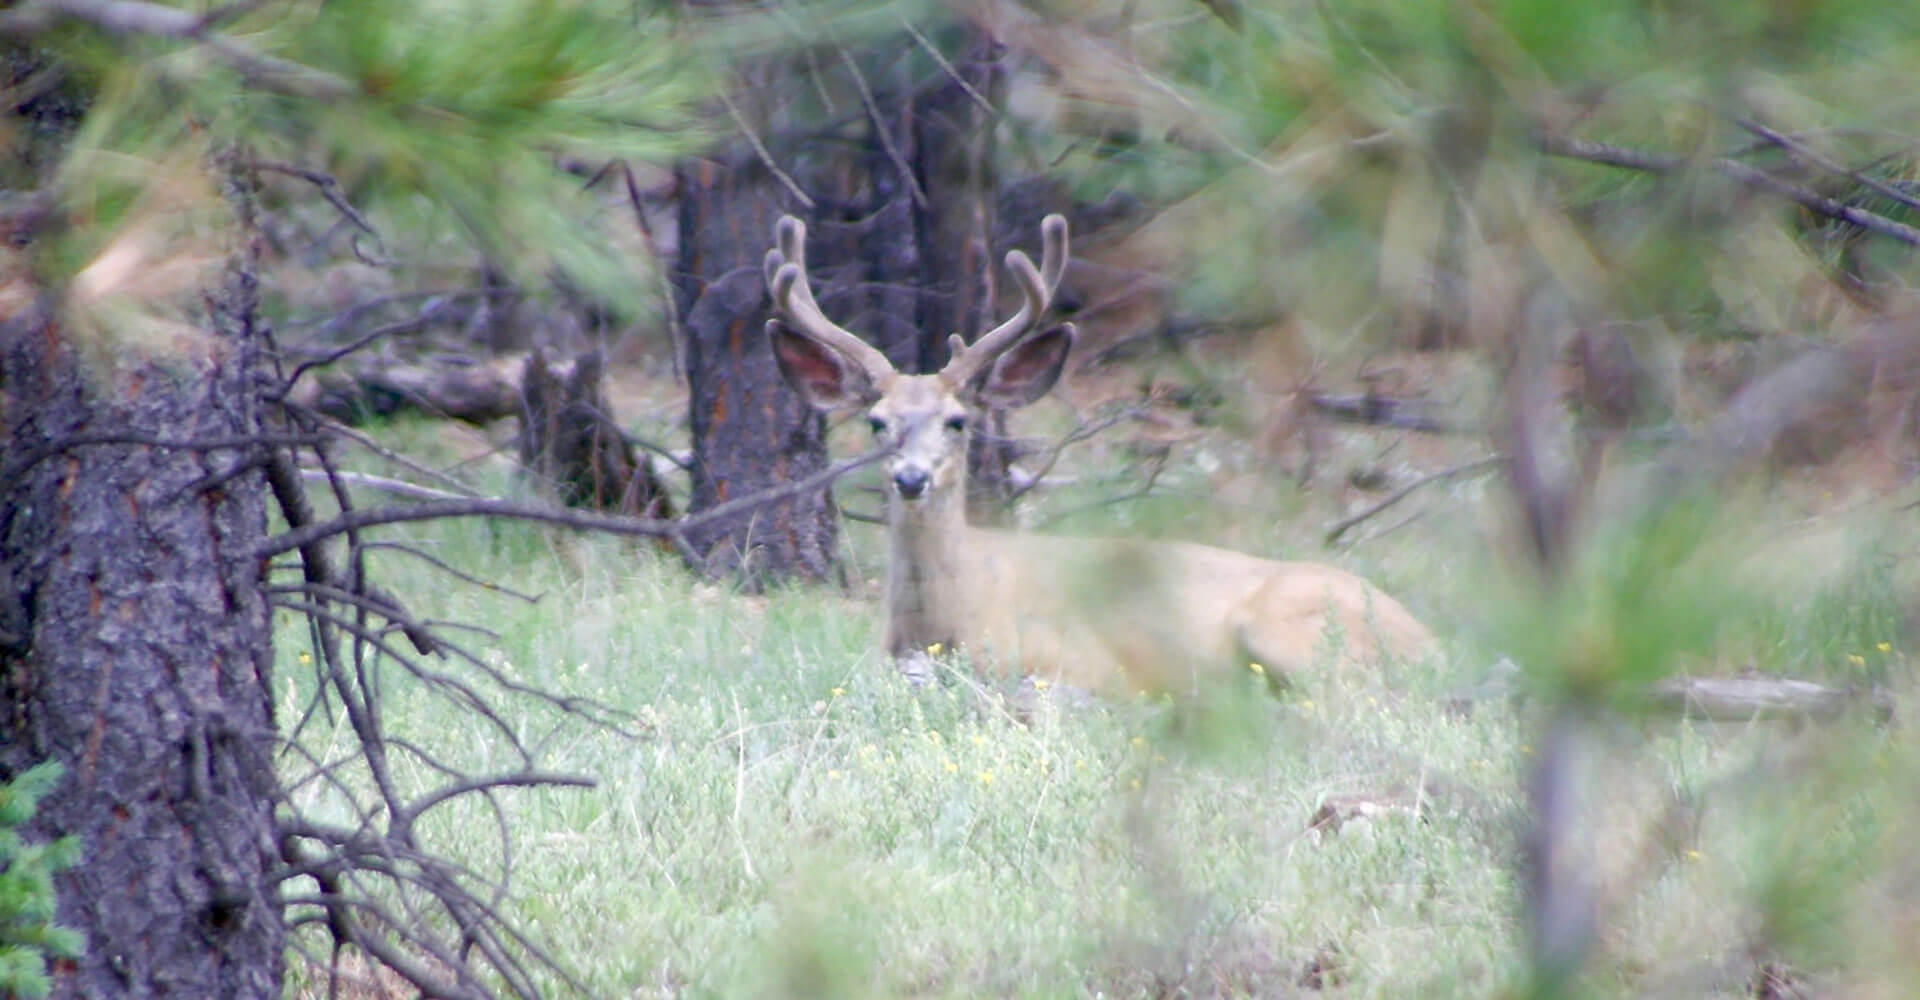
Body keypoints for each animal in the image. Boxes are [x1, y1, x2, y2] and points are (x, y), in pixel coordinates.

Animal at [763, 213, 1435, 696]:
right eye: (877, 421)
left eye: (958, 421)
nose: (910, 479)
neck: (939, 625)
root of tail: (1428, 640)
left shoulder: (1071, 659)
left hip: (1286, 627)